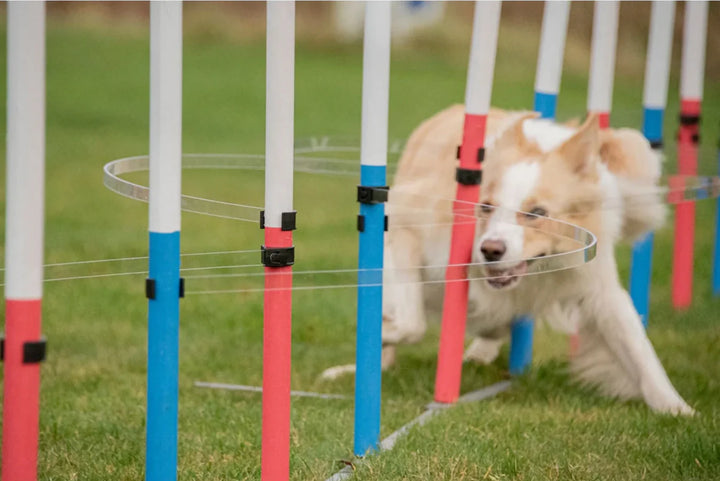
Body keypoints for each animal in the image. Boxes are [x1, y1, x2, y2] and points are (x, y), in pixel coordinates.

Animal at [324, 106, 696, 416]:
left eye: (538, 213)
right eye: (486, 206)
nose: (490, 250)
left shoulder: (598, 287)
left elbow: (638, 348)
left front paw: (678, 410)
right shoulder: (405, 232)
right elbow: (410, 324)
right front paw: (378, 334)